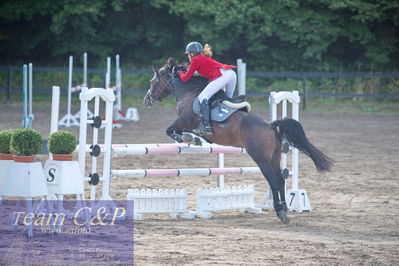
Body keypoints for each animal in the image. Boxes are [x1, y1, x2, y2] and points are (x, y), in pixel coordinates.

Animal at [145, 57, 332, 222]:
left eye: (152, 81)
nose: (147, 100)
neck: (189, 92)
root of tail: (271, 126)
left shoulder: (183, 121)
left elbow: (170, 130)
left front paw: (189, 138)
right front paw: (193, 139)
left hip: (260, 158)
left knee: (273, 180)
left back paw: (280, 211)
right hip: (275, 156)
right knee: (280, 180)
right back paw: (285, 210)